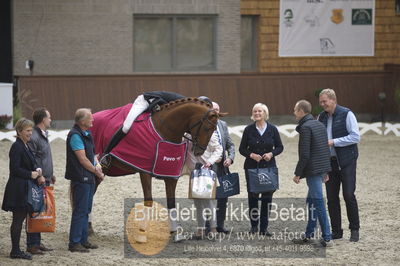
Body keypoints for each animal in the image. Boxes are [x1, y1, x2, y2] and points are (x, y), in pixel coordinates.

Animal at [91, 96, 222, 242]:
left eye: (214, 129)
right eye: (207, 128)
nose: (199, 151)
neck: (165, 130)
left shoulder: (171, 176)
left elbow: (171, 202)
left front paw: (175, 233)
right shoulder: (144, 172)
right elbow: (149, 201)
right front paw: (141, 234)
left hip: (101, 171)